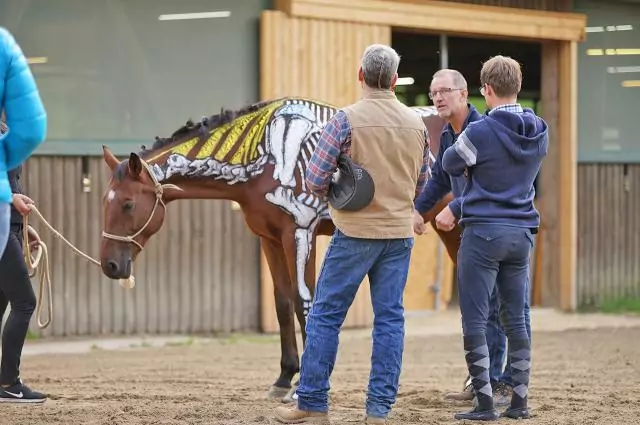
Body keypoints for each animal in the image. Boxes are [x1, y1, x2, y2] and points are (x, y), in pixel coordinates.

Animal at [98, 96, 454, 402]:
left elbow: (304, 301)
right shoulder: (268, 238)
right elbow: (282, 302)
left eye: (128, 204)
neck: (264, 161)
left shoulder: (299, 232)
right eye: (105, 201)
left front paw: (302, 386)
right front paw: (284, 378)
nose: (109, 266)